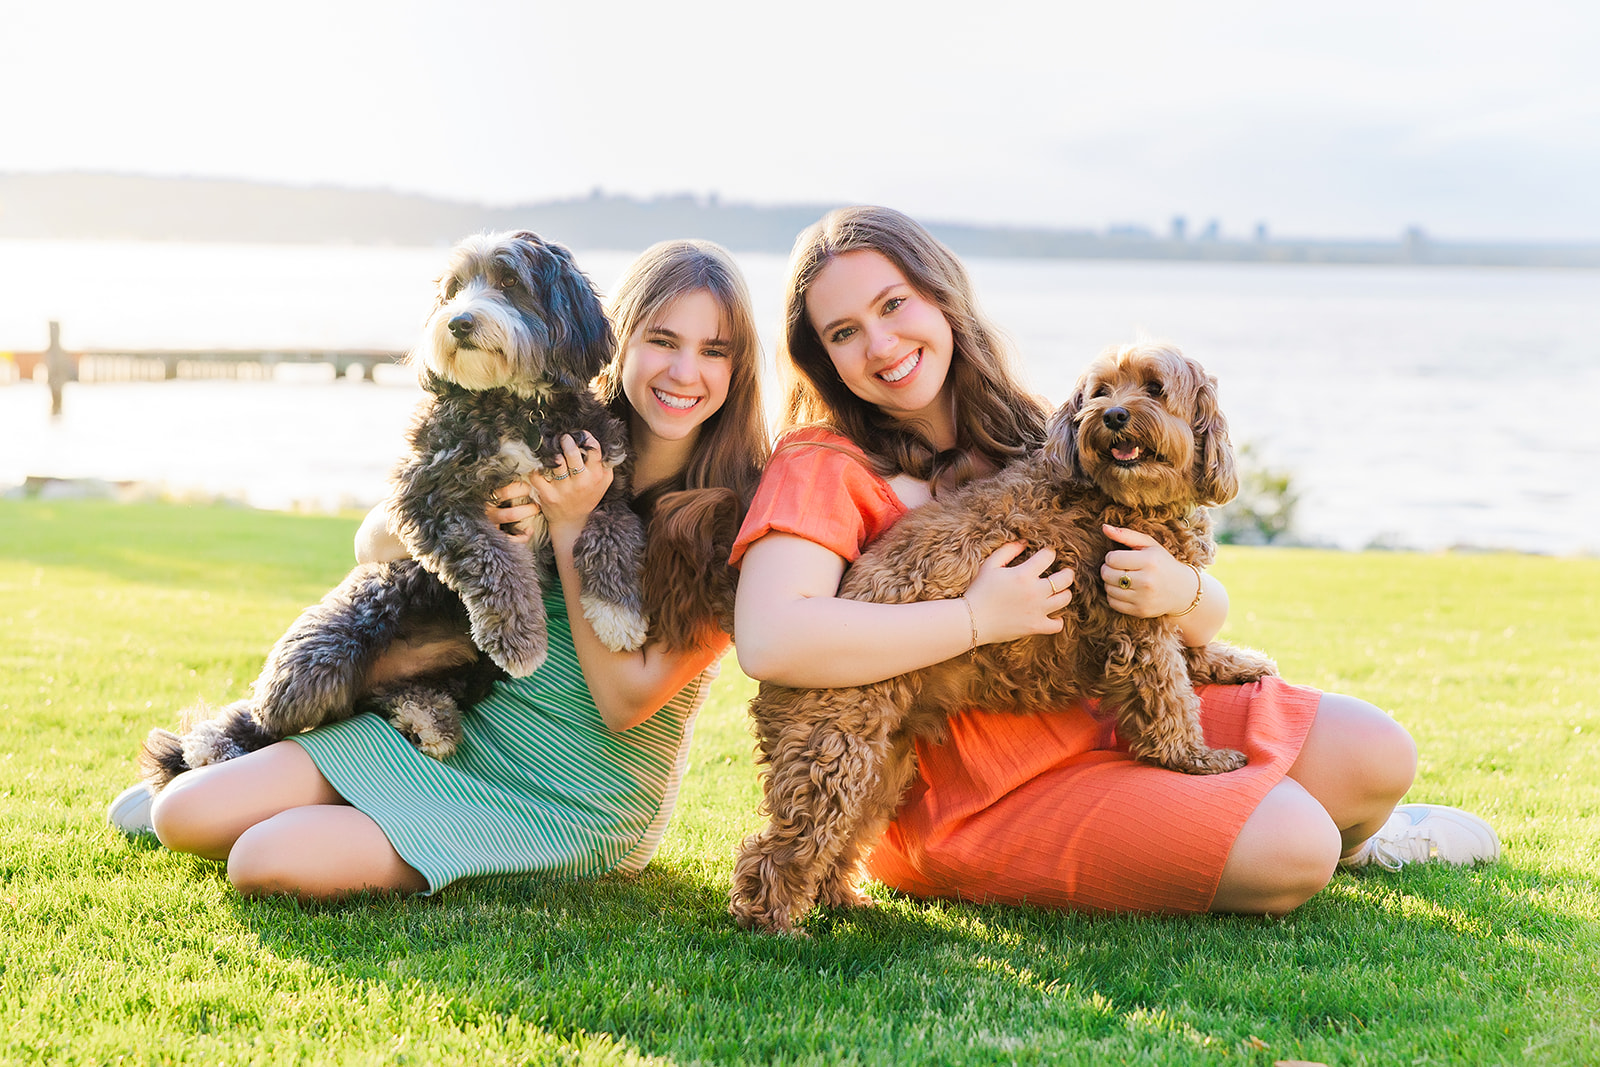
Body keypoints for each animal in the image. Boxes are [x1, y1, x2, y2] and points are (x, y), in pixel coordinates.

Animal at [732, 343, 1273, 934]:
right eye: (1101, 391)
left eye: (1153, 388)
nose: (1112, 416)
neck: (1121, 498)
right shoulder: (1134, 623)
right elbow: (1170, 697)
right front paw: (1194, 758)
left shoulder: (1157, 600)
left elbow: (1191, 640)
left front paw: (1237, 662)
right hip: (834, 750)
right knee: (783, 845)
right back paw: (775, 923)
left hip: (884, 758)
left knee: (846, 833)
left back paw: (841, 898)